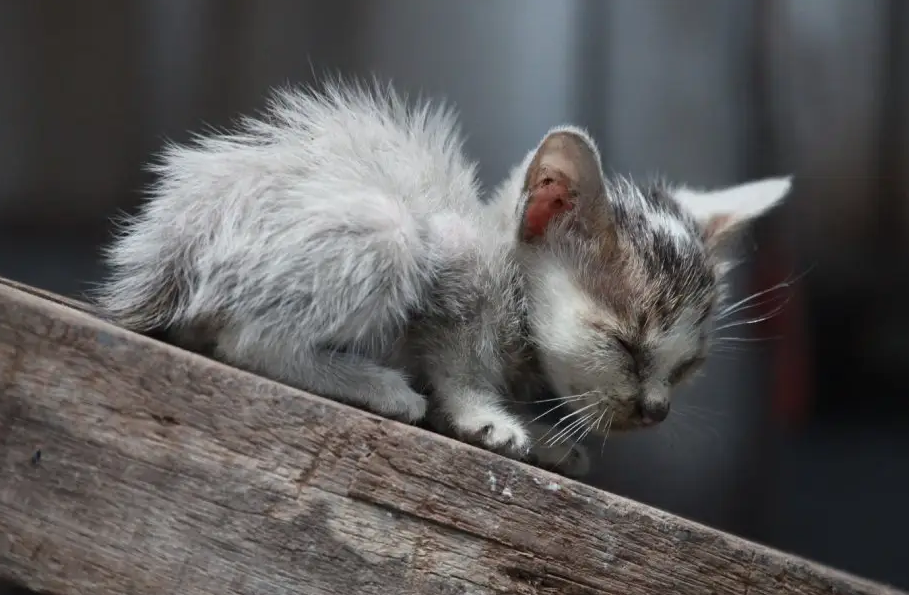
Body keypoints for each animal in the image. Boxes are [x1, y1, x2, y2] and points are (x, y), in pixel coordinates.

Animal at [94, 81, 788, 478]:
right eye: (624, 344)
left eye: (689, 366)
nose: (656, 410)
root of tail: (171, 246)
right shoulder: (456, 259)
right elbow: (458, 358)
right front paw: (484, 416)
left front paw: (544, 434)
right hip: (389, 231)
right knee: (246, 342)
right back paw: (377, 386)